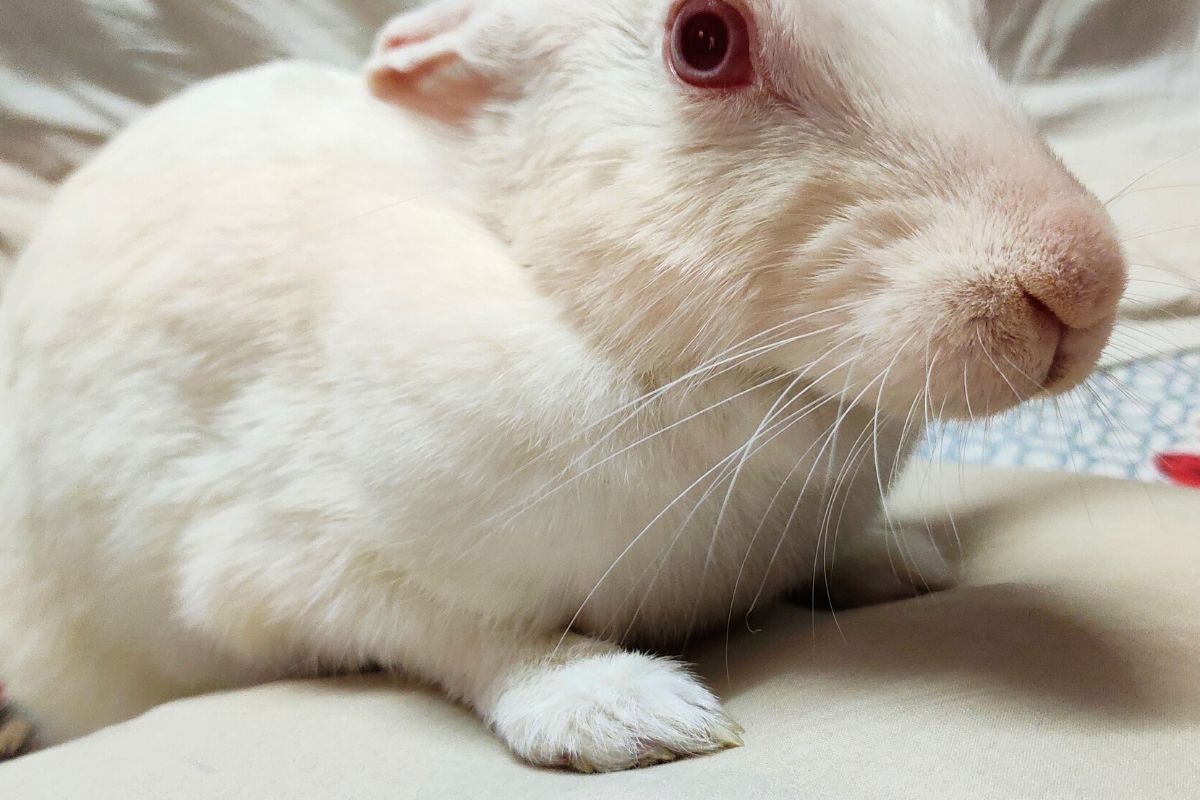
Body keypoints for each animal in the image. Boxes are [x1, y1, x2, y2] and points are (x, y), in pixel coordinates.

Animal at [0, 0, 1126, 773]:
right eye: (704, 40)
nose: (1082, 283)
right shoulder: (292, 565)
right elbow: (471, 637)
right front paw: (630, 712)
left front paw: (897, 560)